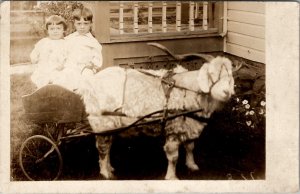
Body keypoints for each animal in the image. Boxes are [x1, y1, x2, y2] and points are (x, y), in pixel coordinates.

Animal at [74, 55, 234, 180]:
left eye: (229, 76)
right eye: (212, 74)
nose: (227, 92)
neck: (187, 89)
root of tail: (89, 83)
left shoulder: (189, 124)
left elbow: (190, 147)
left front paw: (192, 165)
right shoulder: (173, 127)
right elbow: (173, 156)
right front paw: (172, 177)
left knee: (108, 145)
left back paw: (110, 167)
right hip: (102, 121)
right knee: (102, 148)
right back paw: (105, 173)